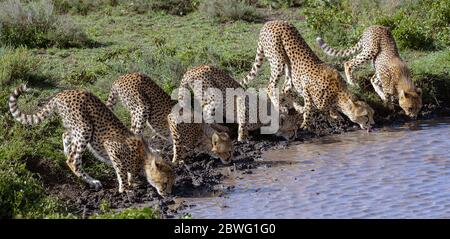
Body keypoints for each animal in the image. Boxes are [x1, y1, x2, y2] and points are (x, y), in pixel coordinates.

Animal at [9, 84, 174, 196]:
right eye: (166, 182)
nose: (168, 193)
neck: (143, 156)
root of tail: (64, 93)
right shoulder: (112, 147)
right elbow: (120, 169)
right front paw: (124, 188)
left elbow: (128, 172)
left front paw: (131, 181)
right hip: (85, 128)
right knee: (73, 160)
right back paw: (92, 181)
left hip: (75, 127)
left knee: (65, 136)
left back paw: (66, 152)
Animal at [241, 20, 374, 132]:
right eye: (366, 116)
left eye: (372, 114)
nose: (372, 124)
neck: (338, 92)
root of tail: (270, 22)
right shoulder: (306, 87)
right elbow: (311, 108)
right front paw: (305, 124)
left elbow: (326, 109)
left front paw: (334, 116)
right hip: (278, 61)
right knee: (270, 86)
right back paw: (280, 106)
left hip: (290, 70)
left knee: (285, 89)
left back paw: (298, 107)